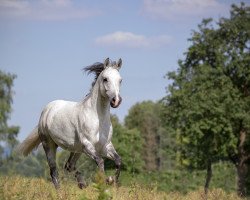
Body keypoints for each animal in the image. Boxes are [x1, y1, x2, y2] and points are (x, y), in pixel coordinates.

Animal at [16, 57, 123, 189]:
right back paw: (61, 191)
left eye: (120, 80)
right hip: (49, 144)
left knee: (68, 165)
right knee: (54, 171)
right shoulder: (88, 146)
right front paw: (105, 182)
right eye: (105, 79)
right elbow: (100, 162)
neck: (98, 119)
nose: (116, 101)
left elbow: (118, 161)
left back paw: (82, 183)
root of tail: (47, 110)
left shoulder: (105, 146)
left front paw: (112, 180)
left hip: (77, 150)